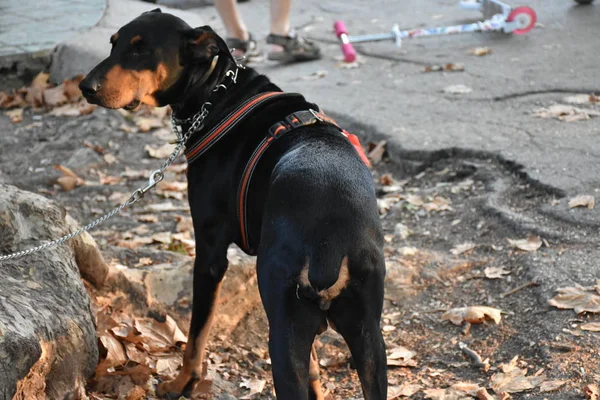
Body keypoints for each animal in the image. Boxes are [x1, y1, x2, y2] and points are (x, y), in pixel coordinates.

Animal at [79, 9, 386, 400]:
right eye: (113, 43)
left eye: (141, 49)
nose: (85, 87)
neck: (219, 94)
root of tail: (329, 245)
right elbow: (315, 364)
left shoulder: (210, 255)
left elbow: (196, 334)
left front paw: (181, 383)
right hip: (369, 339)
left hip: (282, 331)